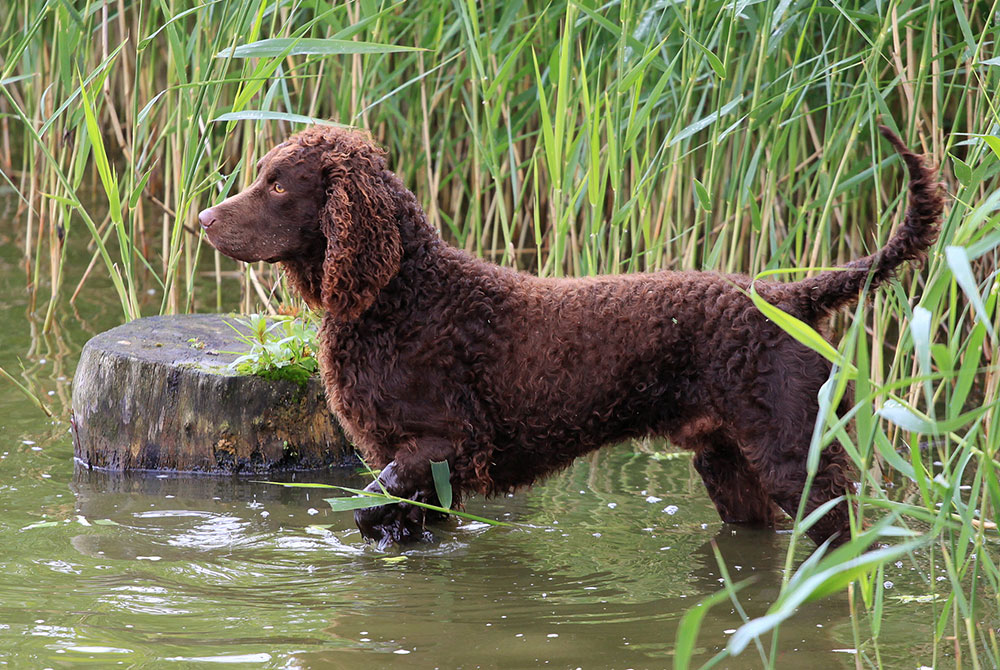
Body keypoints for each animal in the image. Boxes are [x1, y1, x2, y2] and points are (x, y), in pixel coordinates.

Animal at [199, 126, 940, 552]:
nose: (202, 218)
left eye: (277, 184)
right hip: (730, 466)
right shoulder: (422, 467)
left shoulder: (444, 443)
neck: (401, 295)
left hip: (795, 457)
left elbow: (368, 506)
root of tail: (789, 297)